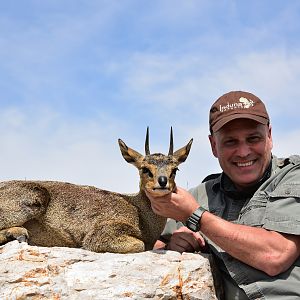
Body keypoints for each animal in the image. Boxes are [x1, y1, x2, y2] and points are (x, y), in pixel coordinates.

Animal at [0, 127, 192, 252]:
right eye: (145, 169)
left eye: (175, 169)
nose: (162, 182)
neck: (141, 216)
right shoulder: (102, 233)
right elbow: (139, 245)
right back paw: (17, 233)